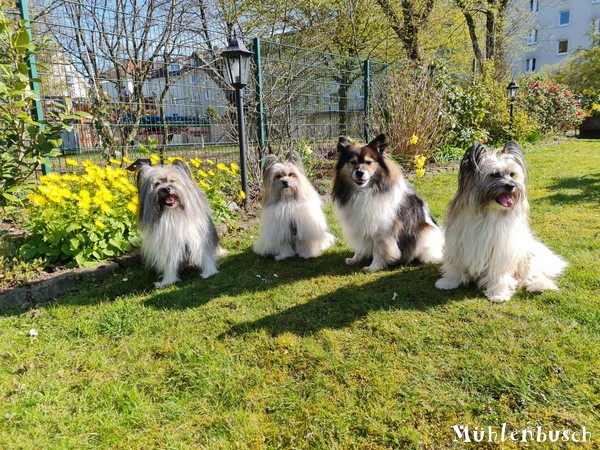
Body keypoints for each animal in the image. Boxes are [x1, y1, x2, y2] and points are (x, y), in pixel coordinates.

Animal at [436, 141, 568, 302]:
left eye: (512, 174)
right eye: (494, 174)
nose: (511, 186)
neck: (489, 212)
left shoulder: (501, 250)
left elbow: (498, 274)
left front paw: (498, 294)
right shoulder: (458, 245)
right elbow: (455, 266)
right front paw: (448, 282)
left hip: (529, 256)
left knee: (532, 274)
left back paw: (538, 285)